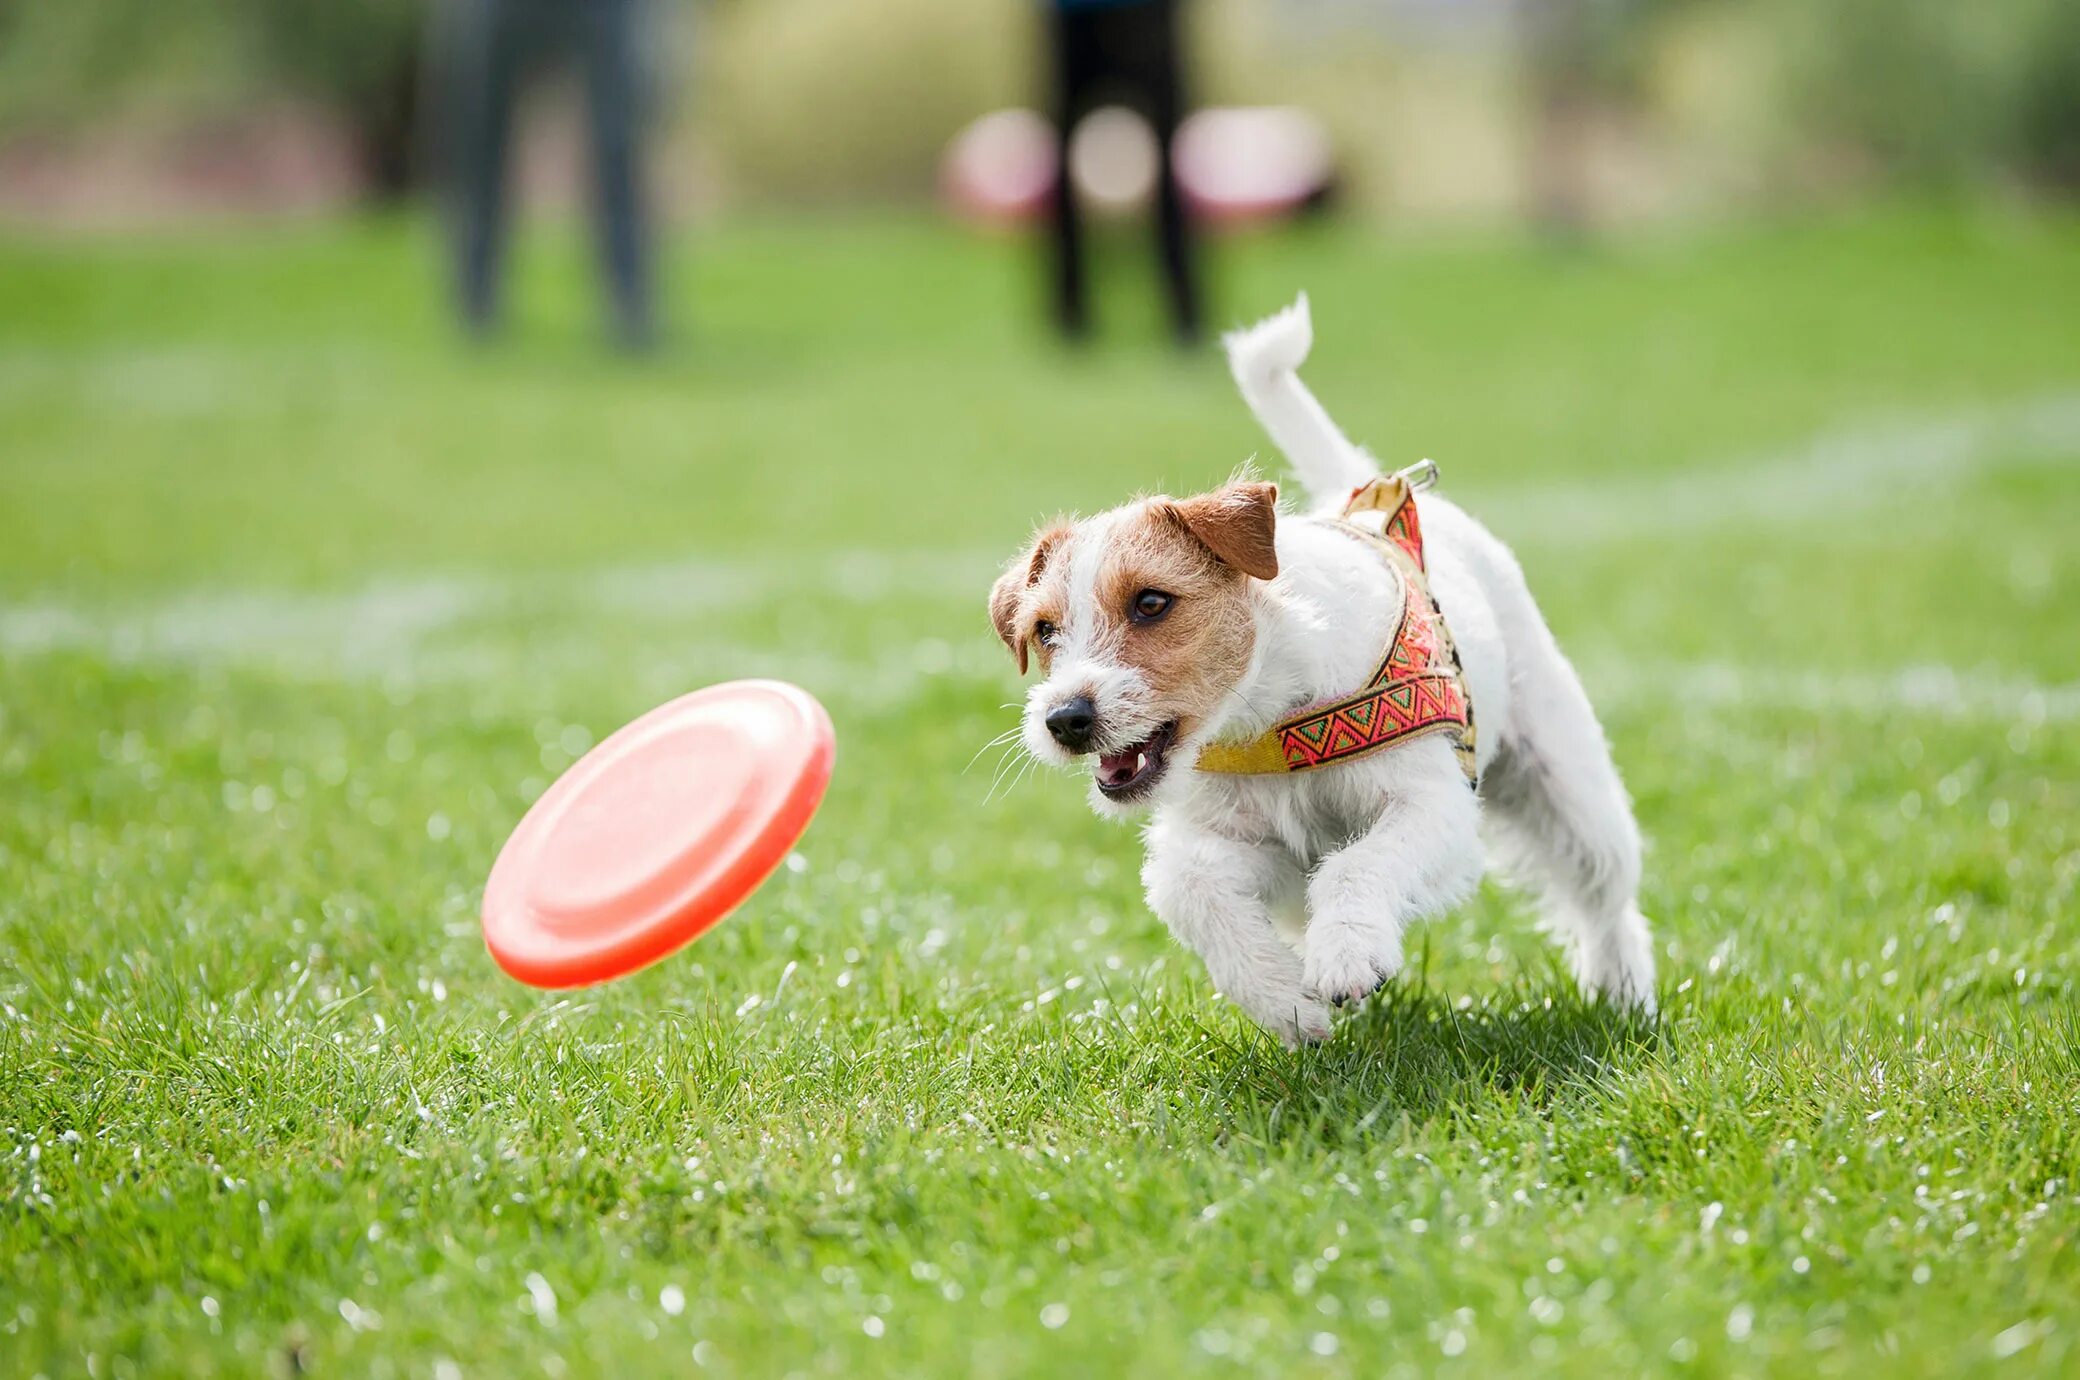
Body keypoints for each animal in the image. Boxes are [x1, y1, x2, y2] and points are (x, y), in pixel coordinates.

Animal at [990, 297, 1655, 1040]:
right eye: (1045, 631)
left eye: (1152, 602)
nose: (1064, 719)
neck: (1272, 717)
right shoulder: (1246, 843)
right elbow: (1189, 887)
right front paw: (1285, 999)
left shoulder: (1432, 805)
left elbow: (1356, 865)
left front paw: (1346, 958)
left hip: (1570, 787)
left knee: (1607, 897)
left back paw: (1623, 992)